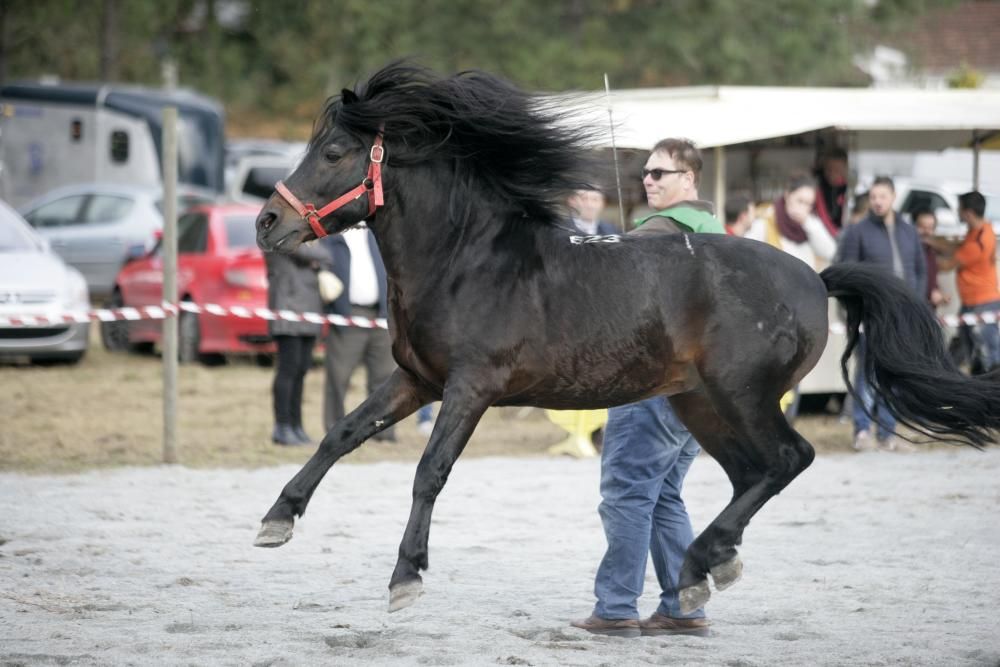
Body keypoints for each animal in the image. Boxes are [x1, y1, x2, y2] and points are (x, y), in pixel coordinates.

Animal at [252, 62, 1000, 616]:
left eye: (335, 152)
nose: (265, 223)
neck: (468, 261)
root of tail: (815, 278)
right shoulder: (417, 380)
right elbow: (342, 433)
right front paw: (277, 519)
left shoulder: (470, 388)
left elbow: (429, 471)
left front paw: (406, 575)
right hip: (700, 403)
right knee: (752, 472)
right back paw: (702, 572)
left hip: (743, 395)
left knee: (791, 458)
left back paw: (702, 562)